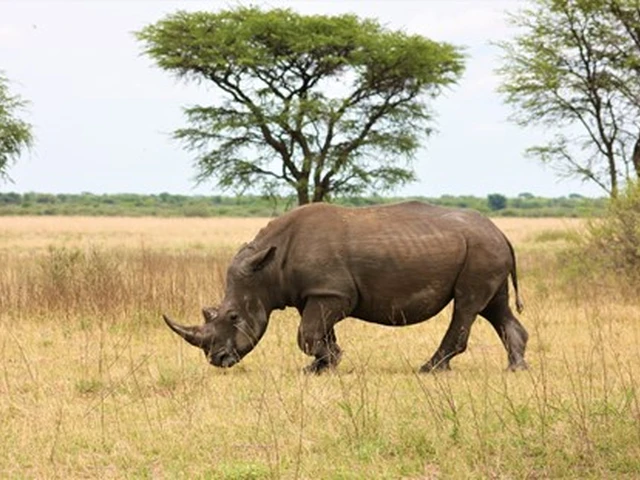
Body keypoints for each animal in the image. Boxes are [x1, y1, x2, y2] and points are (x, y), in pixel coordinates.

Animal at [163, 201, 528, 374]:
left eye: (234, 317)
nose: (218, 360)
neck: (267, 269)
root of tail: (502, 233)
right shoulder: (316, 293)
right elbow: (318, 333)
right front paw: (321, 366)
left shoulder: (332, 293)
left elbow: (307, 334)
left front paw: (329, 361)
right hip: (485, 249)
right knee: (493, 307)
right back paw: (516, 368)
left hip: (480, 250)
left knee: (466, 305)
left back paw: (429, 369)